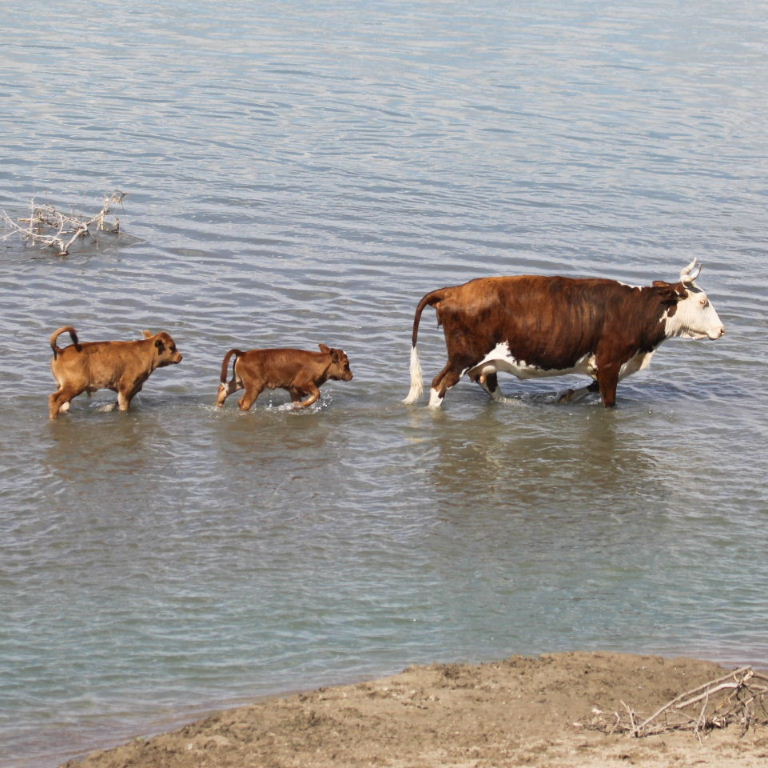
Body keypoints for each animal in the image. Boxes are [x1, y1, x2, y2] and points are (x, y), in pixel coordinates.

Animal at [49, 326, 183, 419]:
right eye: (171, 347)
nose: (180, 356)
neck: (145, 352)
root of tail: (61, 351)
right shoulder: (126, 388)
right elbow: (124, 406)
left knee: (63, 404)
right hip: (75, 385)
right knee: (55, 399)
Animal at [216, 344, 354, 410]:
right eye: (346, 364)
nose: (351, 376)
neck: (319, 363)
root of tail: (243, 353)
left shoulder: (294, 390)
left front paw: (297, 406)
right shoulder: (301, 383)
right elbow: (317, 393)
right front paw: (303, 405)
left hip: (240, 382)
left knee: (224, 389)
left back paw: (219, 406)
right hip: (255, 386)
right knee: (243, 402)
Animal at [402, 260, 725, 408]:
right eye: (703, 302)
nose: (721, 329)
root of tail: (453, 290)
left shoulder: (604, 366)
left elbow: (590, 388)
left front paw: (565, 396)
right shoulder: (610, 363)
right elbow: (609, 402)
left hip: (483, 361)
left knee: (488, 384)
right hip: (463, 356)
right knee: (439, 385)